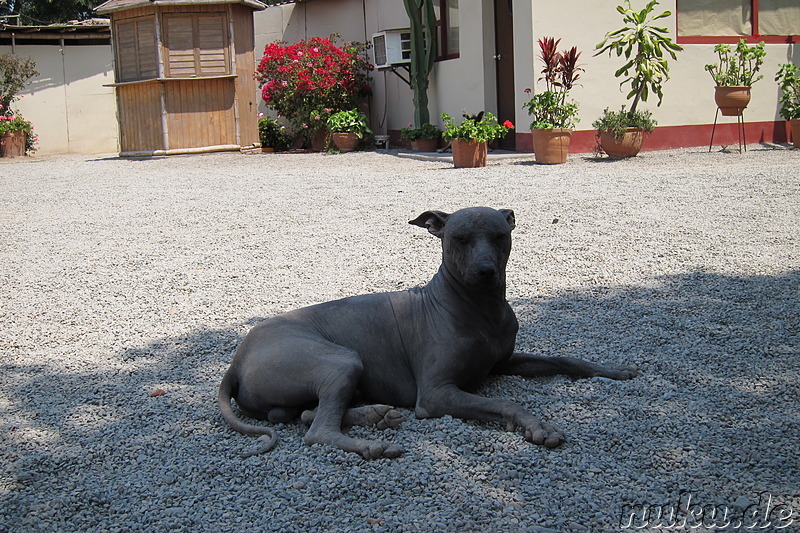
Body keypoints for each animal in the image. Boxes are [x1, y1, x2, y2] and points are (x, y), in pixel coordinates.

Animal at [219, 207, 636, 458]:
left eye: (499, 236)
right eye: (459, 239)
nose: (486, 271)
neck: (479, 309)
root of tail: (235, 363)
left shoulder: (504, 362)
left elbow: (564, 358)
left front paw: (612, 371)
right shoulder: (436, 394)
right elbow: (507, 403)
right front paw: (537, 426)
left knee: (308, 414)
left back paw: (376, 415)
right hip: (339, 359)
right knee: (317, 430)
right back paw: (372, 445)